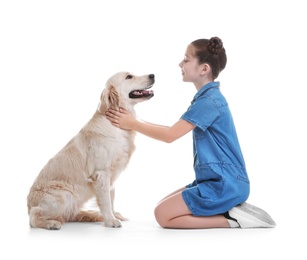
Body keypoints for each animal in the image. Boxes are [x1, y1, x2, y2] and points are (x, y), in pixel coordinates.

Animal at [27, 71, 155, 230]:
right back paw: (52, 223)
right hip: (64, 195)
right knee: (34, 216)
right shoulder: (102, 172)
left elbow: (111, 197)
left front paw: (114, 215)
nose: (152, 75)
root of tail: (27, 206)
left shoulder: (112, 174)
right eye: (129, 77)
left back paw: (88, 215)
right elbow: (106, 200)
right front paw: (111, 220)